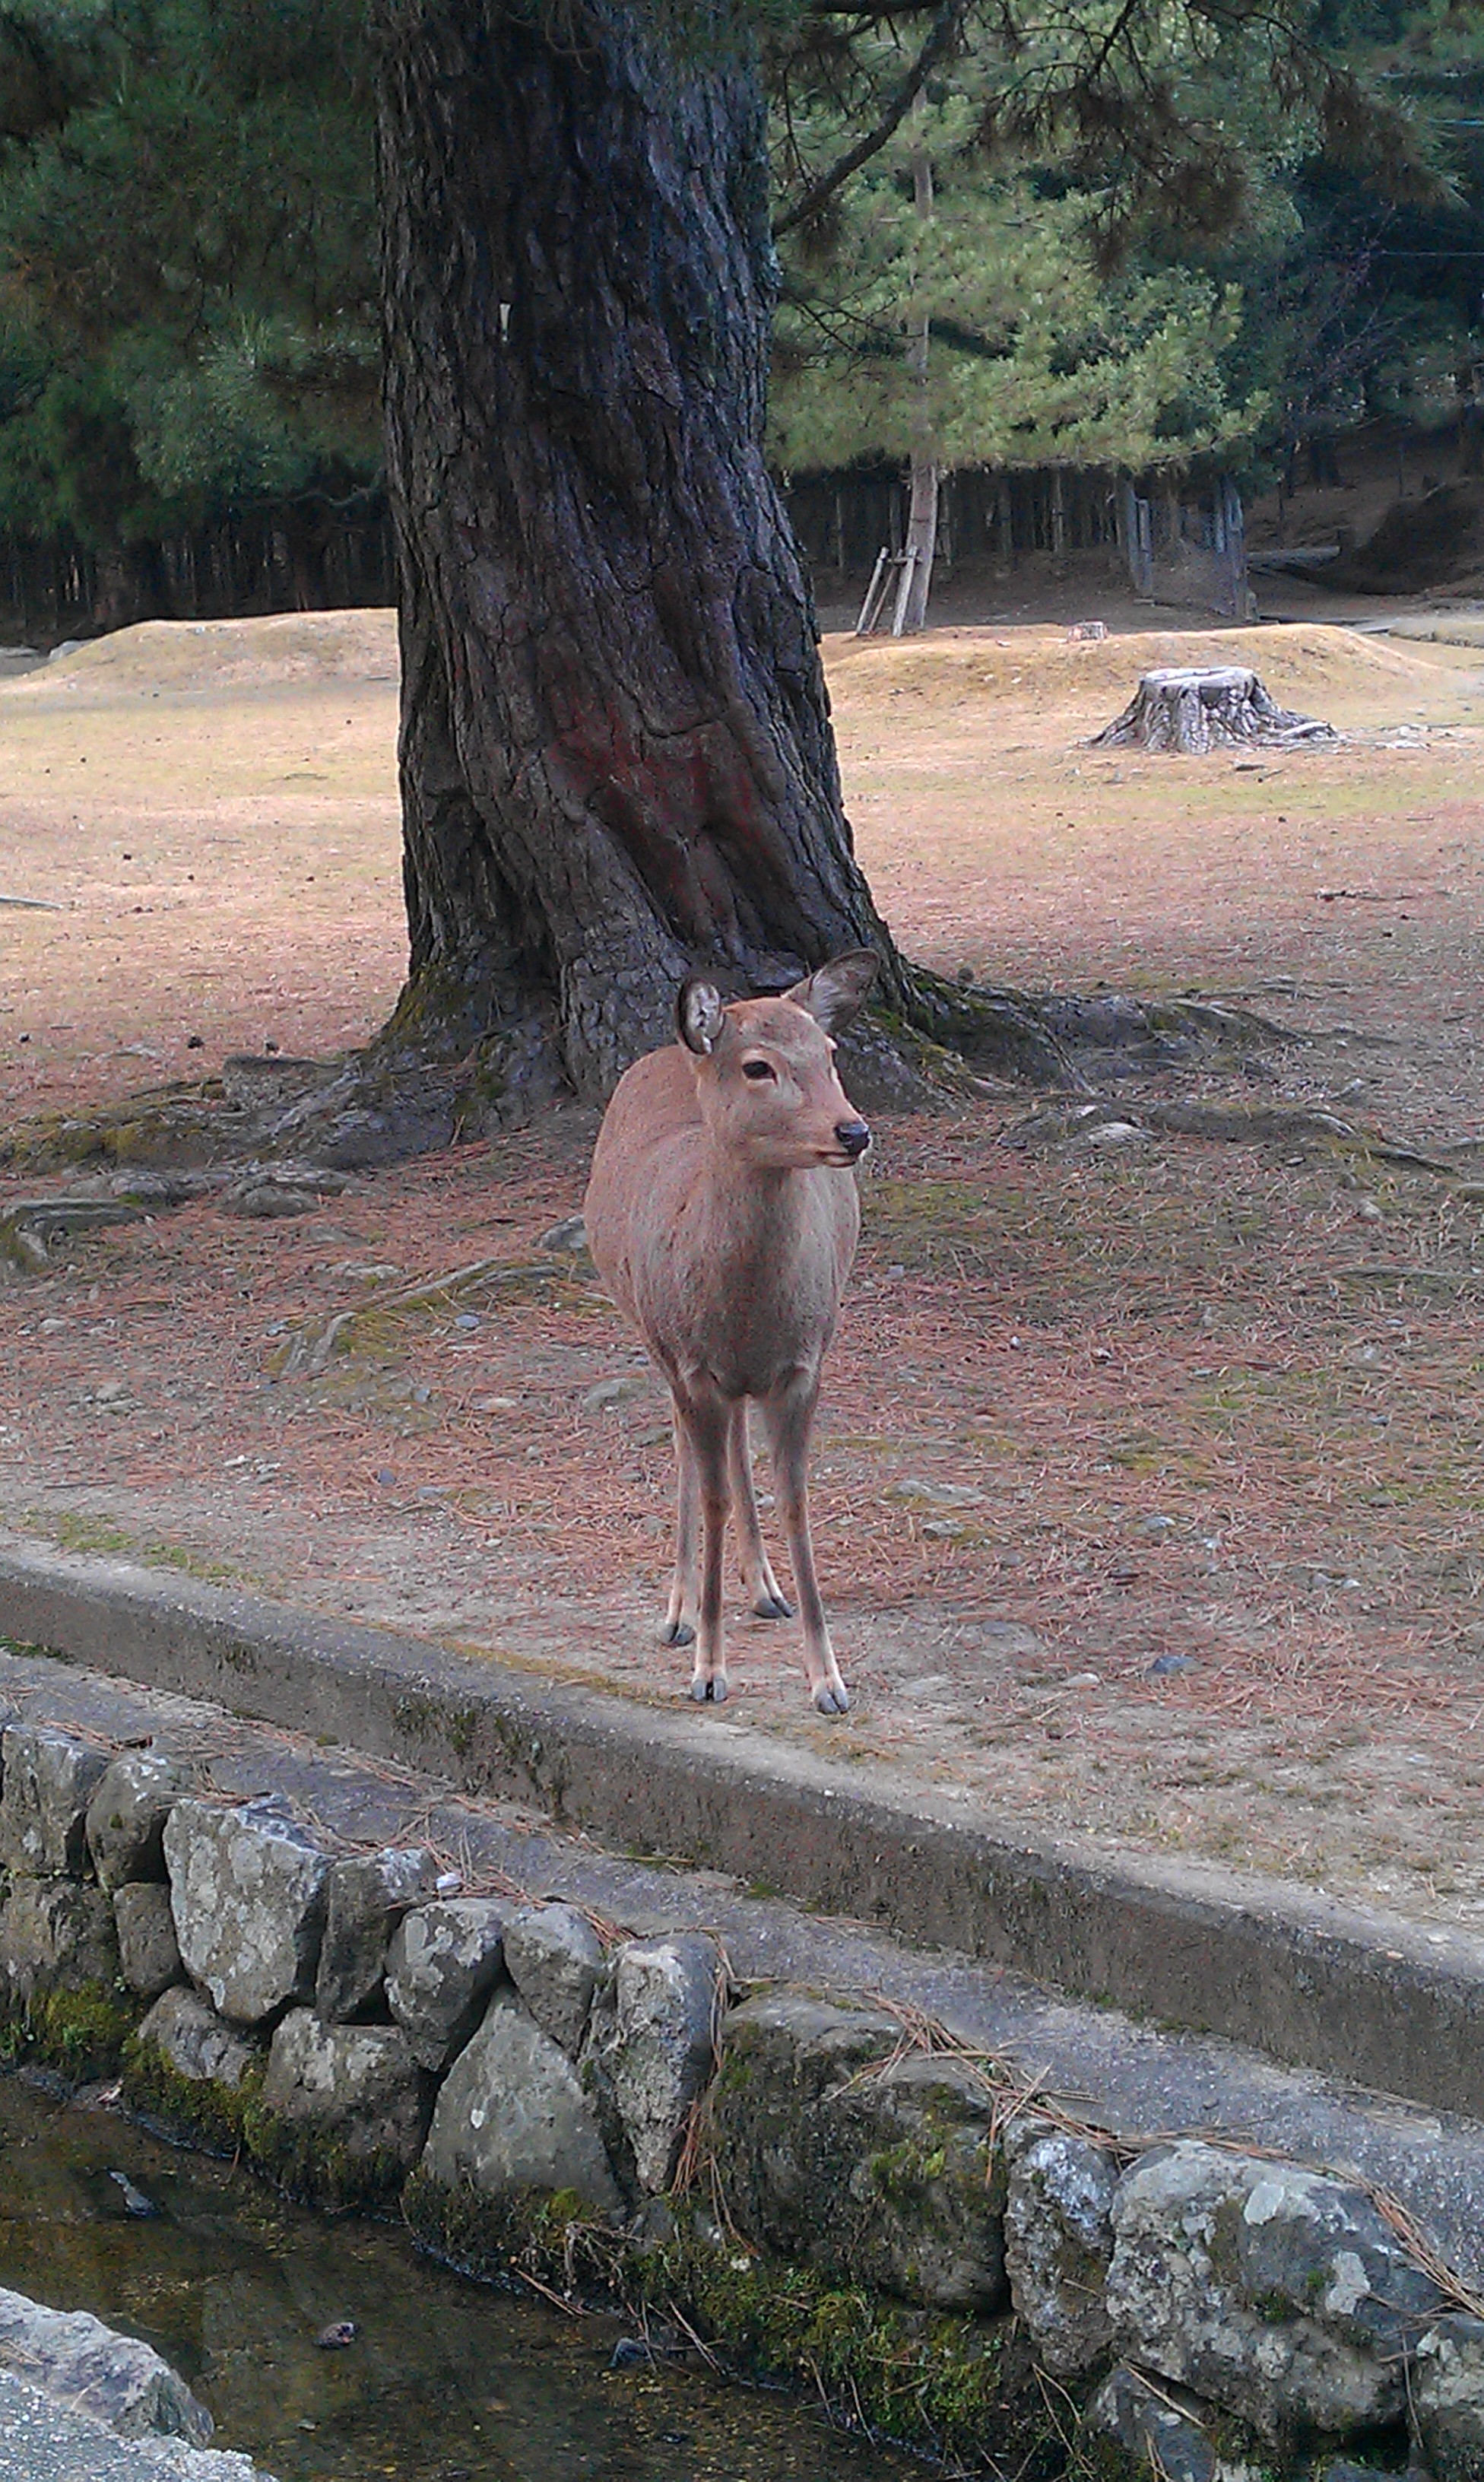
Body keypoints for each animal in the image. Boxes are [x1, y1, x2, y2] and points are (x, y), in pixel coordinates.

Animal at [585, 938, 883, 1717]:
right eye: (757, 1066)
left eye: (830, 1051)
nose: (853, 1130)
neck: (747, 1308)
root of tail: (672, 1050)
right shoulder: (691, 1365)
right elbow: (713, 1494)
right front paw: (709, 1670)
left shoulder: (806, 1362)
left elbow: (797, 1501)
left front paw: (829, 1681)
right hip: (650, 1332)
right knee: (690, 1456)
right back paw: (678, 1613)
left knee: (736, 1444)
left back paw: (766, 1589)